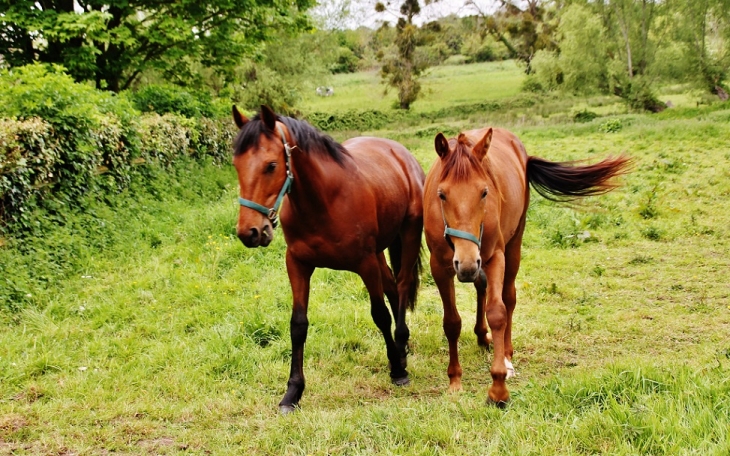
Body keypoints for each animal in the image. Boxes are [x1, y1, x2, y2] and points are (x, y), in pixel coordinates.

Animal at [230, 106, 424, 414]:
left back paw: (401, 345)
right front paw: (293, 392)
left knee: (403, 285)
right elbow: (298, 325)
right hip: (380, 253)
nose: (249, 232)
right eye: (236, 164)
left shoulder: (365, 264)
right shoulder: (297, 264)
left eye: (271, 165)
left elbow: (379, 315)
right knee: (394, 288)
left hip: (408, 234)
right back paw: (400, 346)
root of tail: (399, 151)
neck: (324, 199)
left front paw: (397, 370)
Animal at [424, 127, 628, 406]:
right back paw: (481, 335)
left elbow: (498, 313)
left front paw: (498, 387)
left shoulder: (494, 257)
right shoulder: (440, 266)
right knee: (481, 289)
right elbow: (452, 322)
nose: (466, 263)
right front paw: (455, 380)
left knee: (508, 298)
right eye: (442, 194)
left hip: (513, 244)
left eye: (484, 192)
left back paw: (507, 355)